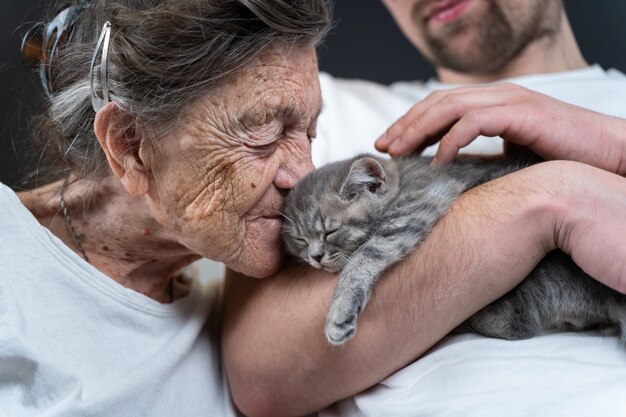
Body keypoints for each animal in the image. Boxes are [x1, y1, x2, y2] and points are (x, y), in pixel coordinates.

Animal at [282, 154, 624, 344]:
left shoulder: (417, 204)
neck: (405, 178)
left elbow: (367, 252)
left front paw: (340, 311)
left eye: (330, 231)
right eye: (300, 241)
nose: (315, 257)